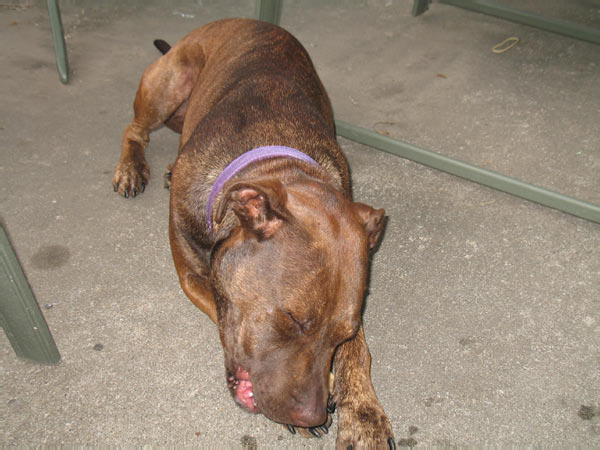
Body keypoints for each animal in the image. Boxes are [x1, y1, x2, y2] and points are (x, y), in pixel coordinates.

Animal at [113, 18, 394, 450]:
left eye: (342, 334)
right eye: (293, 320)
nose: (312, 412)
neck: (275, 157)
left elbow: (359, 354)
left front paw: (364, 415)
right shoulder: (192, 275)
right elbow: (220, 311)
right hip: (168, 82)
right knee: (135, 129)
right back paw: (132, 166)